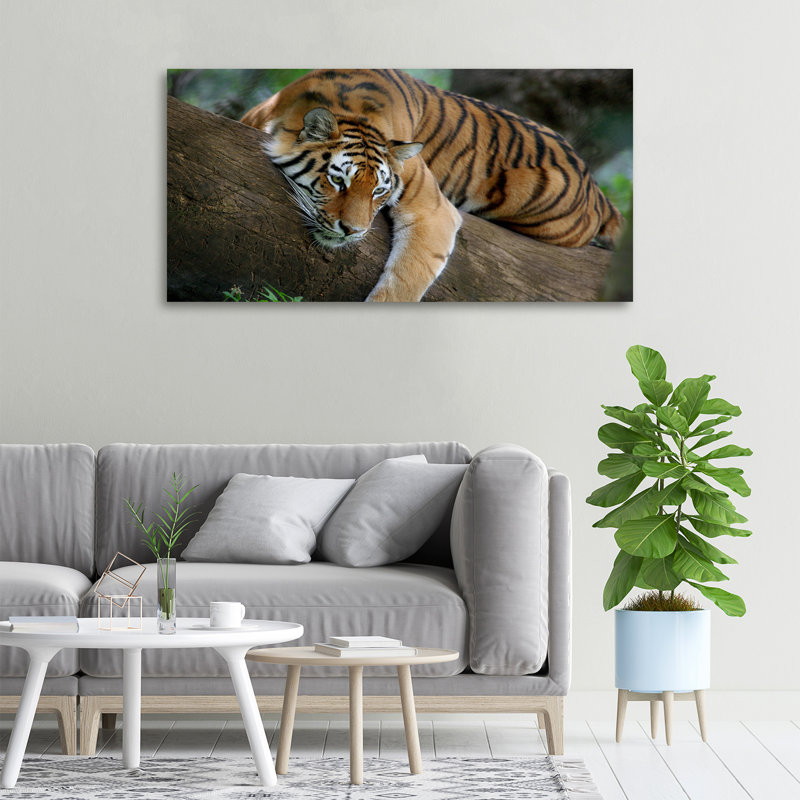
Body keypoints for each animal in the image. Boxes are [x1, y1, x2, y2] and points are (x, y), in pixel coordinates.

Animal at [241, 69, 623, 302]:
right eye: (338, 181)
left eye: (378, 191)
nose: (353, 231)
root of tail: (596, 188)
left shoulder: (433, 209)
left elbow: (405, 279)